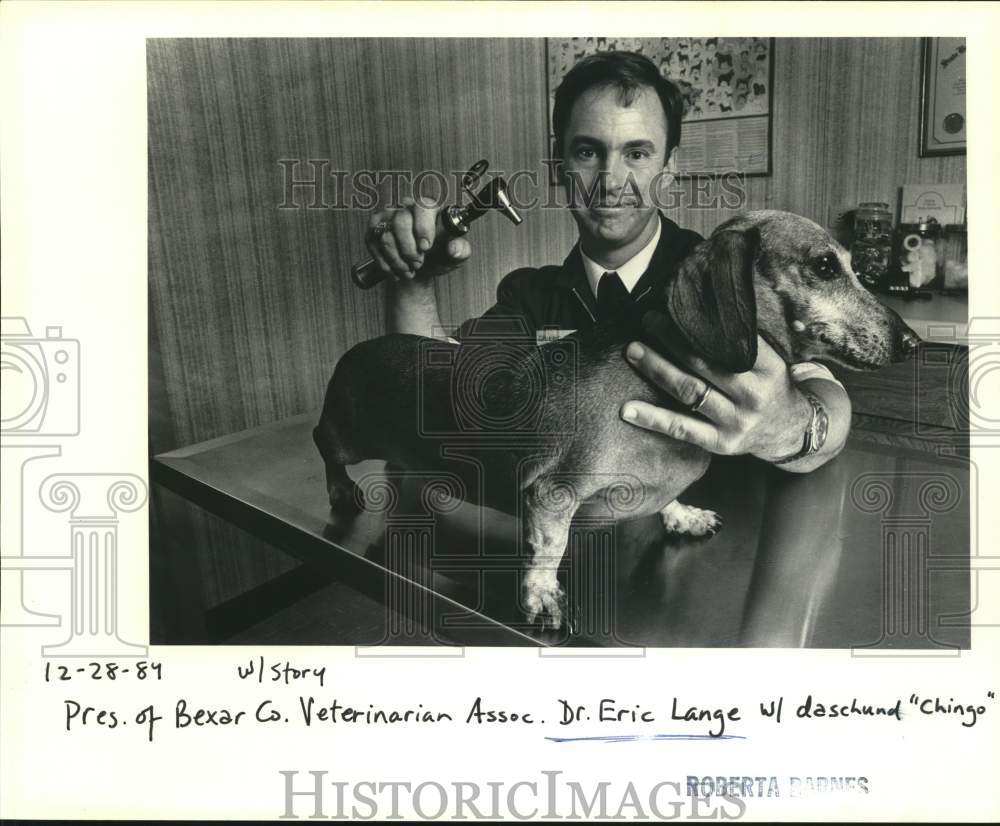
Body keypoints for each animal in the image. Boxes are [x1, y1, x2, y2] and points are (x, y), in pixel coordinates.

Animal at [316, 211, 916, 624]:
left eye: (854, 265)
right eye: (824, 266)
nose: (912, 343)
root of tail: (360, 349)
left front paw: (682, 514)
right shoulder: (552, 493)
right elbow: (549, 545)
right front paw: (540, 595)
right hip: (347, 435)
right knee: (323, 439)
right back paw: (342, 487)